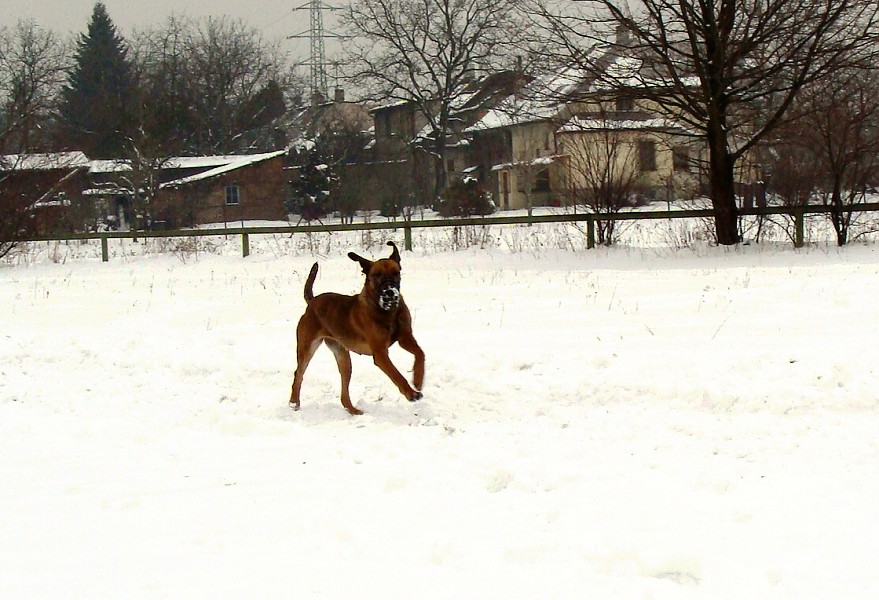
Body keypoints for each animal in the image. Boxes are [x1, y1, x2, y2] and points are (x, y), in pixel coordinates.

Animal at [288, 241, 426, 414]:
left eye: (396, 272)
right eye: (377, 275)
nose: (390, 293)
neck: (386, 311)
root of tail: (312, 302)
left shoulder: (405, 337)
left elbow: (420, 353)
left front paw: (418, 379)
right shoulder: (380, 354)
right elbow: (396, 375)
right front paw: (410, 393)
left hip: (343, 356)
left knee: (343, 387)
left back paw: (352, 410)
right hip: (307, 347)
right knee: (298, 374)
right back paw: (294, 402)